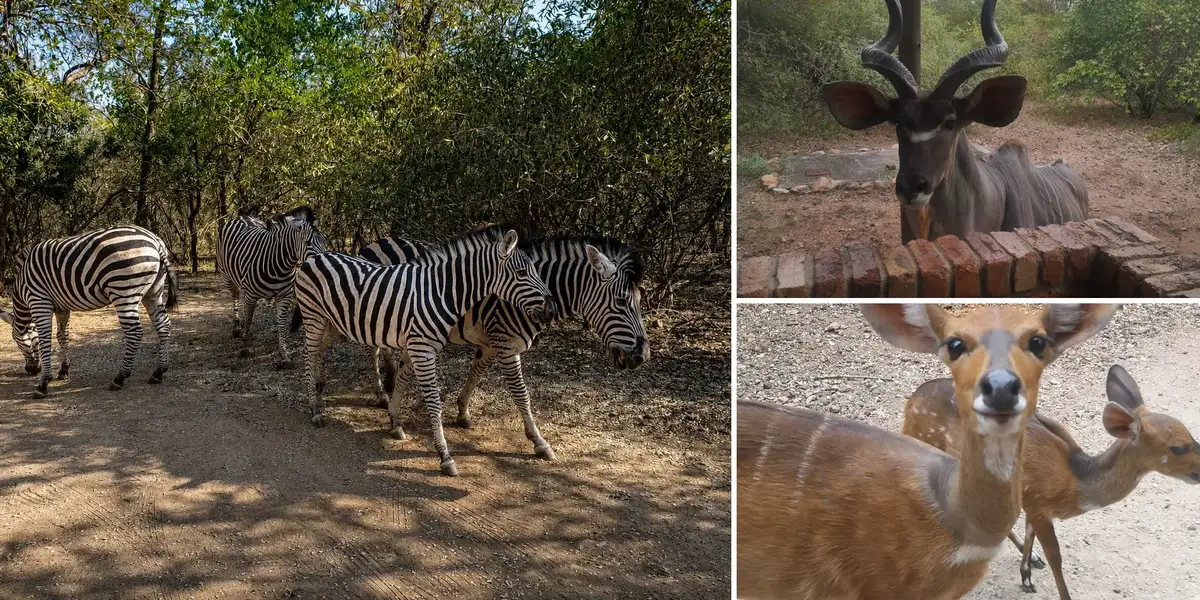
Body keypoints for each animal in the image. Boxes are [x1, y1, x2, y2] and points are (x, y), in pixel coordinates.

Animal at [0, 225, 180, 398]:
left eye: (16, 340)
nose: (31, 370)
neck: (22, 284)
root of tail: (155, 240)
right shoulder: (61, 307)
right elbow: (62, 336)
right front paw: (64, 370)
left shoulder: (39, 300)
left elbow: (45, 340)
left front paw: (43, 383)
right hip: (153, 292)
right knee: (163, 325)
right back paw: (158, 372)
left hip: (123, 291)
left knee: (134, 332)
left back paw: (120, 377)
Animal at [216, 205, 326, 368]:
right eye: (308, 243)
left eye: (324, 241)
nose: (322, 265)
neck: (280, 264)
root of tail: (242, 217)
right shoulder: (251, 295)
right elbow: (249, 318)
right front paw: (245, 346)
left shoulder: (284, 296)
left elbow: (282, 324)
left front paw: (284, 354)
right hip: (226, 275)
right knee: (235, 296)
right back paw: (237, 327)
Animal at [291, 225, 558, 476]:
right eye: (522, 273)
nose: (552, 309)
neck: (441, 292)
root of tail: (316, 256)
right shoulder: (423, 349)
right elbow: (434, 401)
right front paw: (445, 456)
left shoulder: (420, 346)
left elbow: (405, 381)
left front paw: (397, 423)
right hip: (314, 317)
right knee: (308, 354)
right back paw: (314, 410)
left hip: (334, 322)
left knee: (317, 351)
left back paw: (319, 393)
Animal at [360, 233, 648, 459]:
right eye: (622, 302)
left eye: (639, 301)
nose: (643, 356)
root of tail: (376, 241)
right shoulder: (507, 345)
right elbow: (522, 395)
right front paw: (538, 441)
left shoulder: (491, 343)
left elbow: (476, 374)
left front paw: (462, 411)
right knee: (372, 351)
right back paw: (382, 393)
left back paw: (391, 386)